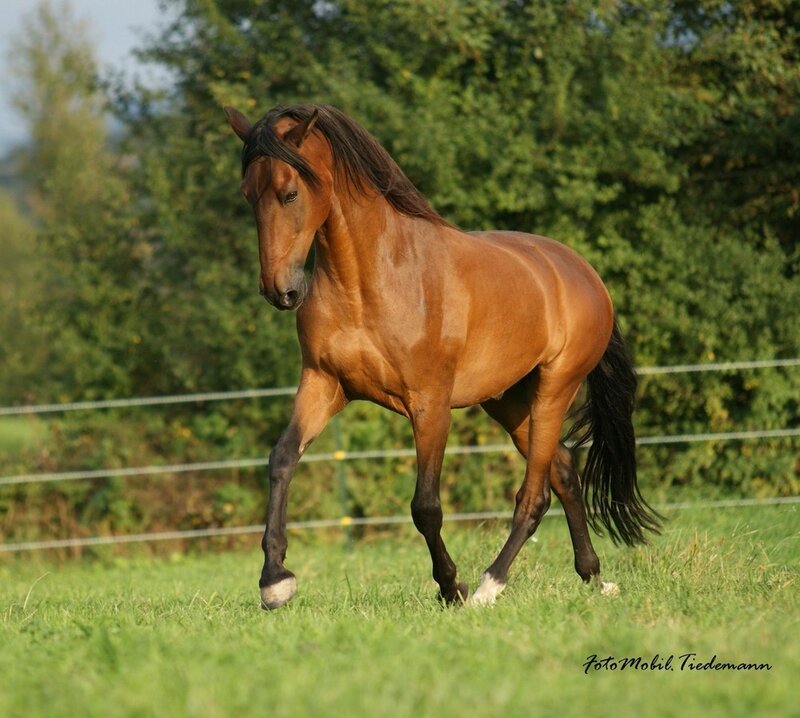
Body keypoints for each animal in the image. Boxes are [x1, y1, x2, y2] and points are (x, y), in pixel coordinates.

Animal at [224, 103, 661, 609]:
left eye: (290, 192)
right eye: (247, 194)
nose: (280, 291)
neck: (371, 282)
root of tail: (585, 274)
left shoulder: (430, 405)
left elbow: (426, 506)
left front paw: (452, 587)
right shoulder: (322, 384)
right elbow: (281, 460)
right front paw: (275, 581)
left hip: (555, 388)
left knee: (535, 495)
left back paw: (491, 585)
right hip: (509, 401)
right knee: (566, 471)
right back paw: (594, 576)